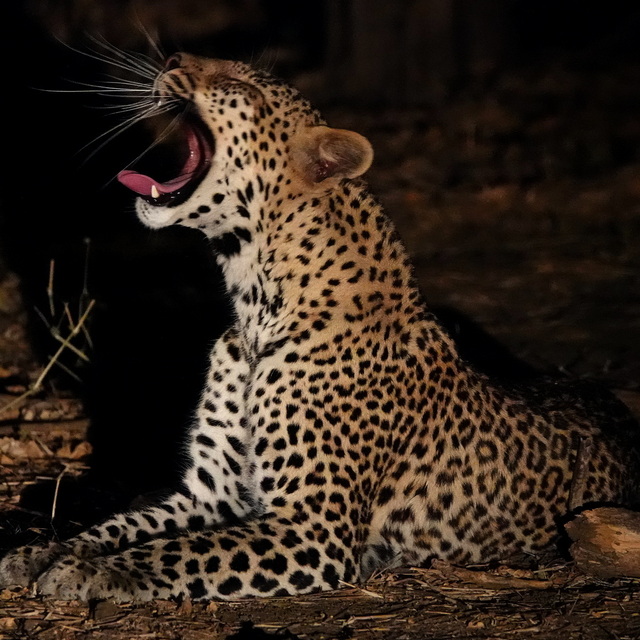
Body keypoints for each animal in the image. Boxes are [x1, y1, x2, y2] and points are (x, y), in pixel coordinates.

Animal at [1, 52, 639, 602]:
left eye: (238, 84)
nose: (172, 60)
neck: (252, 304)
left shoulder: (313, 529)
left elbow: (179, 552)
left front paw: (89, 572)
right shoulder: (208, 494)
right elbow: (121, 524)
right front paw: (43, 553)